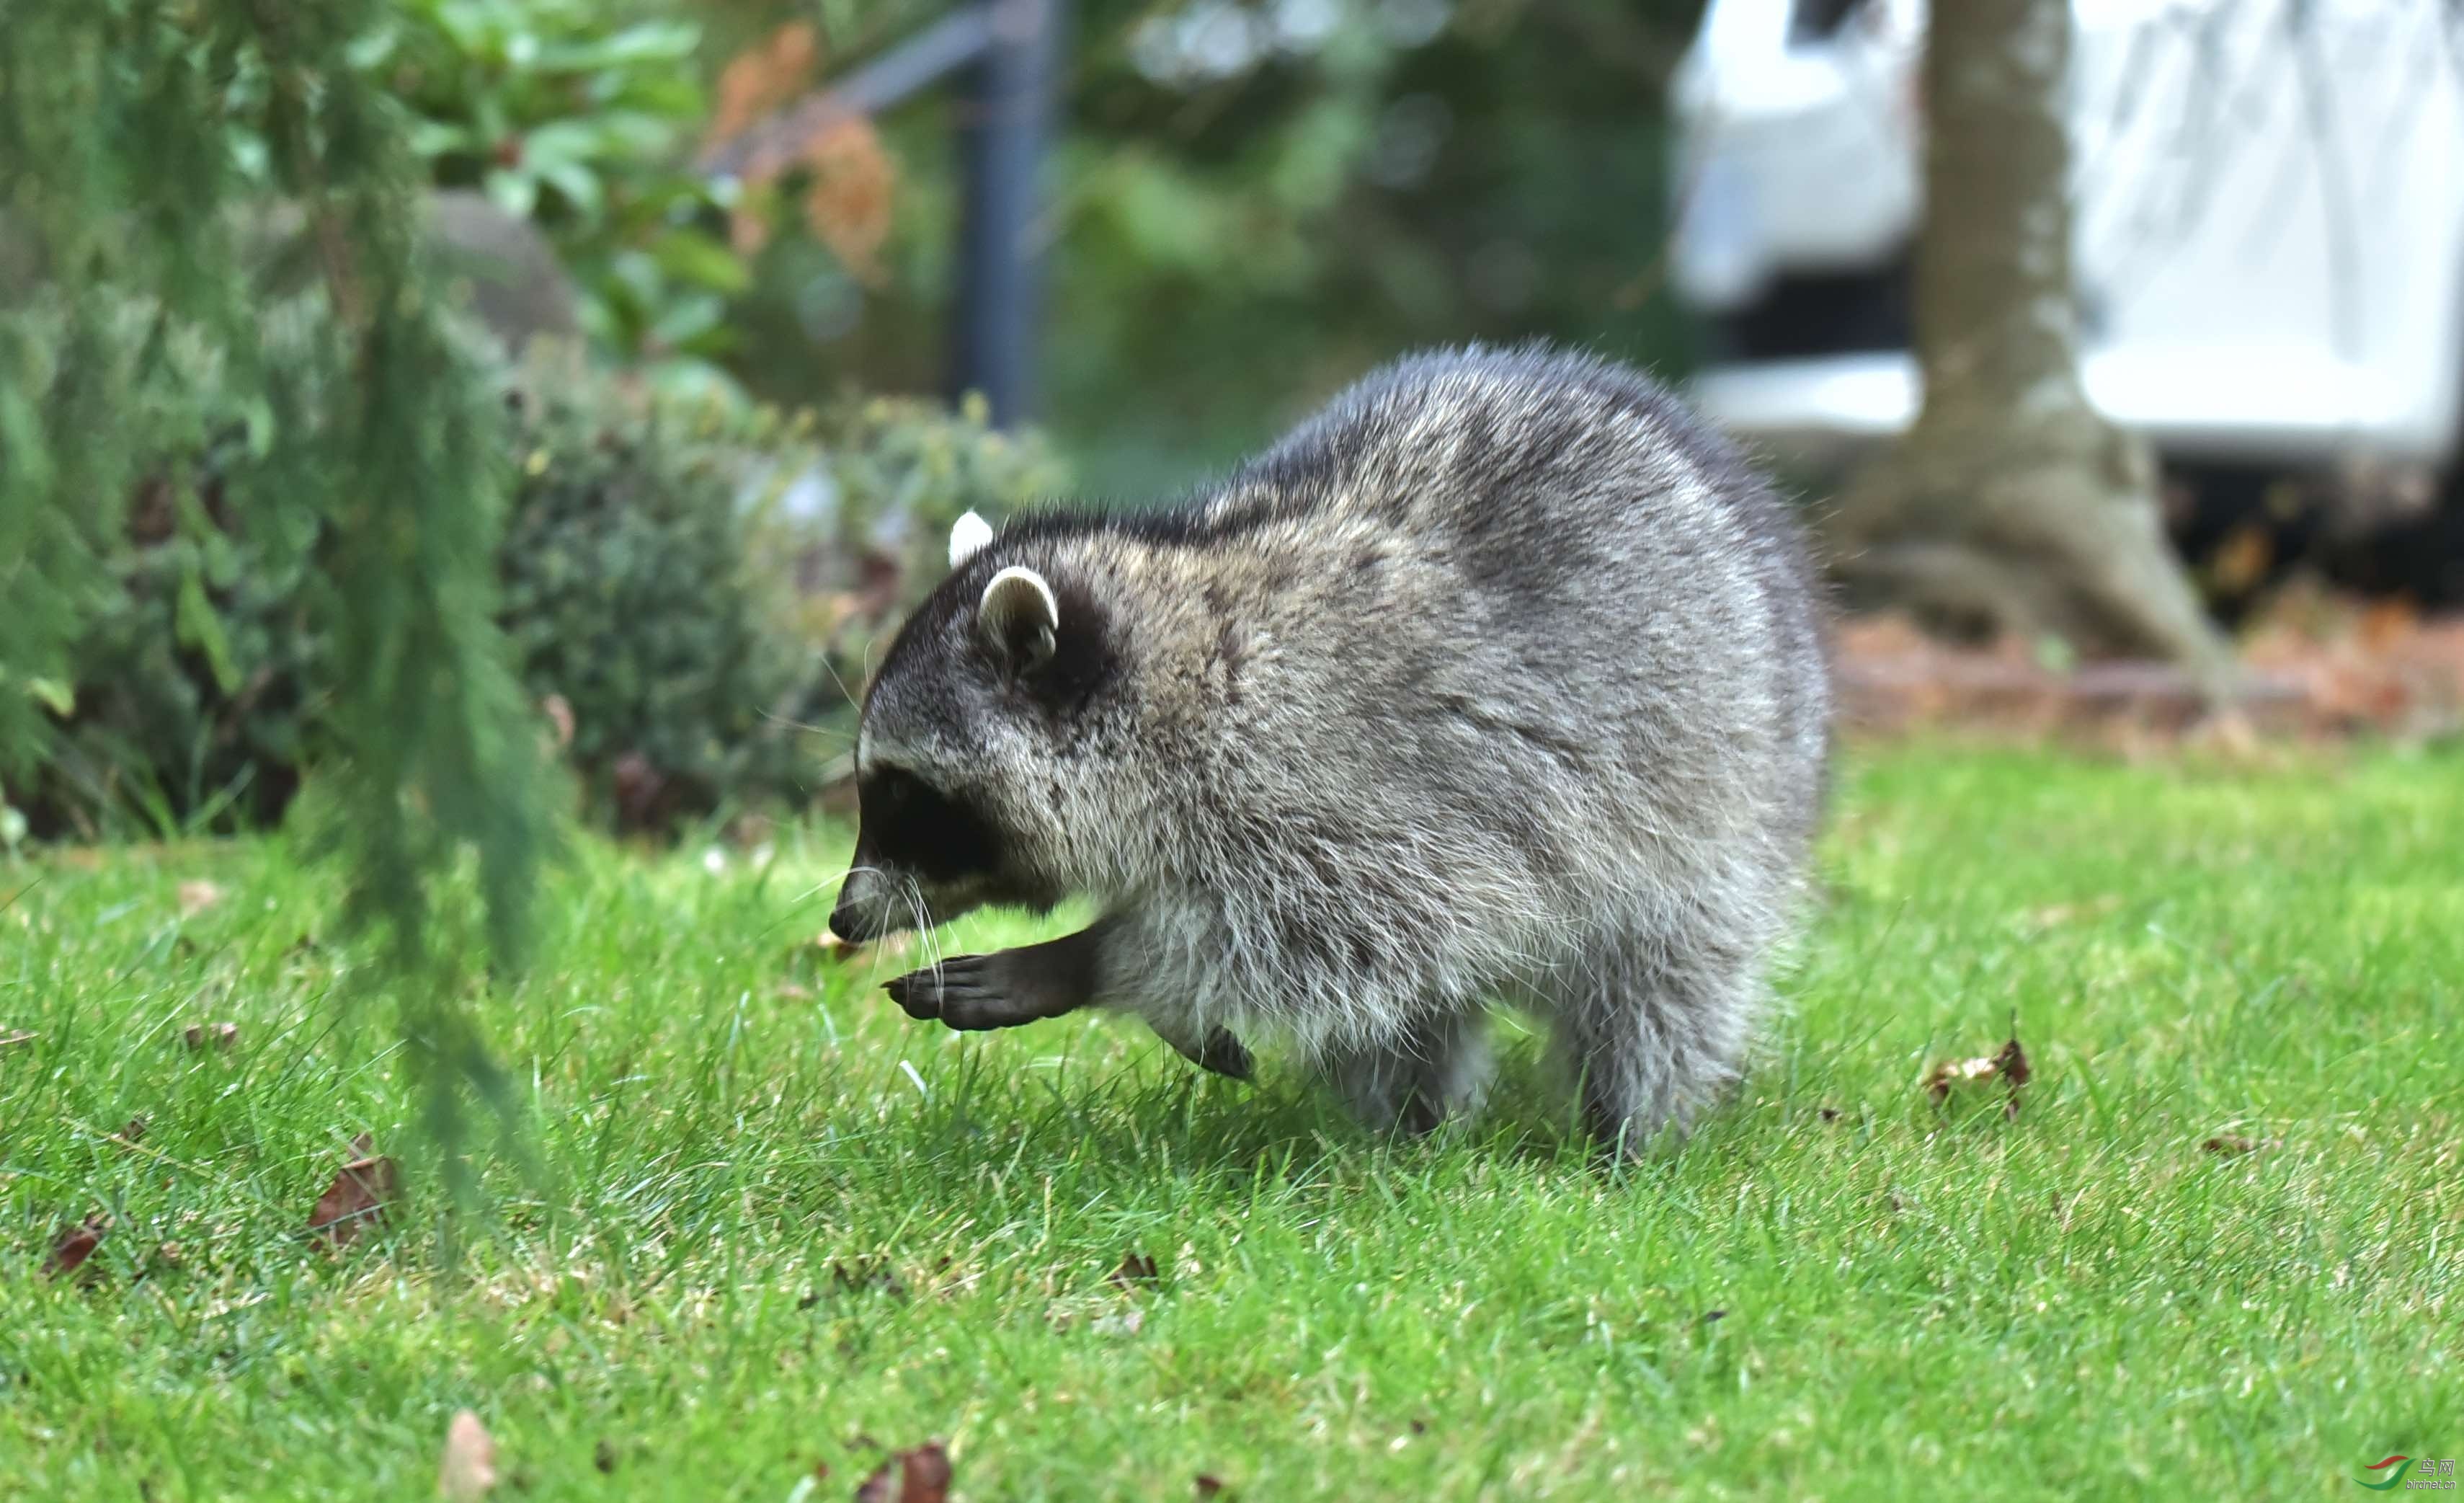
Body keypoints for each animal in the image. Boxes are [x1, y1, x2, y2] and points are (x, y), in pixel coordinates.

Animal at [832, 345, 1833, 1143]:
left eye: (904, 792)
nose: (840, 920)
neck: (1177, 658)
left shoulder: (1354, 789)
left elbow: (1342, 939)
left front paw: (1089, 961)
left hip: (1721, 810)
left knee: (1661, 985)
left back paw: (1624, 1130)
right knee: (1416, 1027)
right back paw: (1411, 1131)